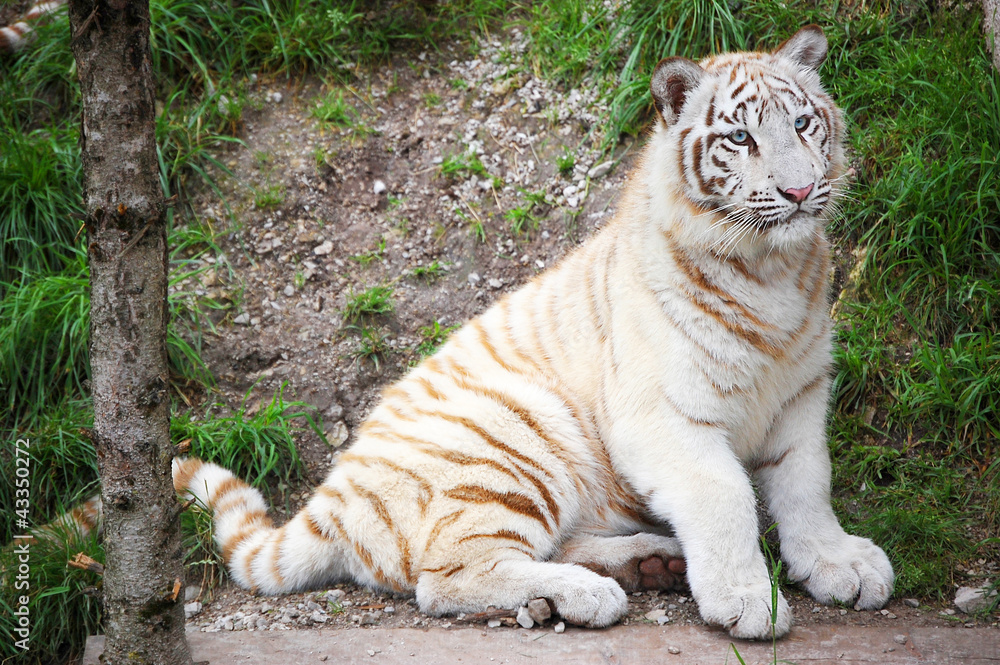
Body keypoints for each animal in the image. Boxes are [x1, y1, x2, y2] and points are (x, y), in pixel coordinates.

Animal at [41, 25, 895, 640]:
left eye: (804, 123)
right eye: (741, 139)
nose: (801, 190)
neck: (772, 272)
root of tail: (327, 501)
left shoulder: (800, 396)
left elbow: (806, 484)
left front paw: (838, 562)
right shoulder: (666, 416)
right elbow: (725, 499)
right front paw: (748, 599)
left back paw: (645, 562)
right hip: (523, 430)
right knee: (443, 575)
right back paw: (590, 594)